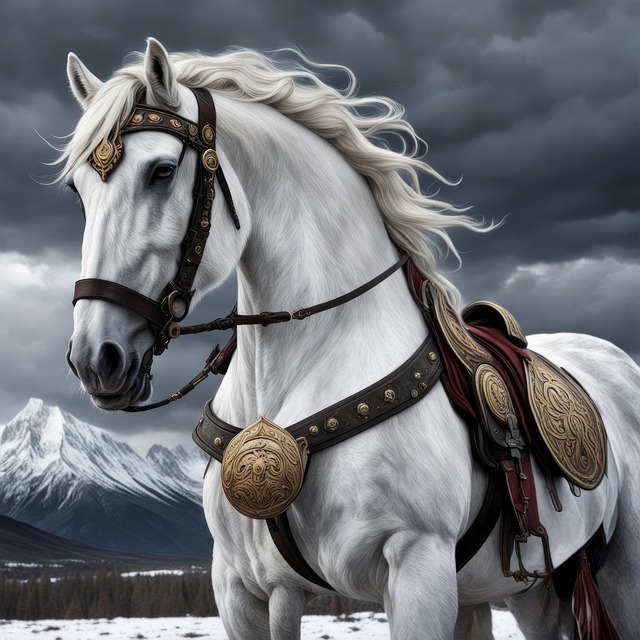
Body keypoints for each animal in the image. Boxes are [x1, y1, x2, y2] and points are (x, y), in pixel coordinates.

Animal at [60, 38, 640, 639]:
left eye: (162, 170)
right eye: (78, 190)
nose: (96, 359)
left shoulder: (418, 568)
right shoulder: (244, 589)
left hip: (620, 579)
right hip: (532, 591)